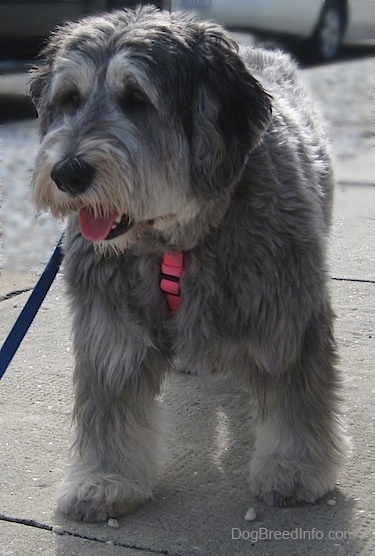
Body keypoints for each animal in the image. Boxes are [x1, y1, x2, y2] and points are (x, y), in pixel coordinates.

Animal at [29, 6, 346, 524]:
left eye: (137, 99)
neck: (177, 238)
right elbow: (108, 405)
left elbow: (295, 396)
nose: (67, 173)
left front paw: (296, 468)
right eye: (70, 98)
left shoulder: (286, 316)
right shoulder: (109, 323)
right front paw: (105, 478)